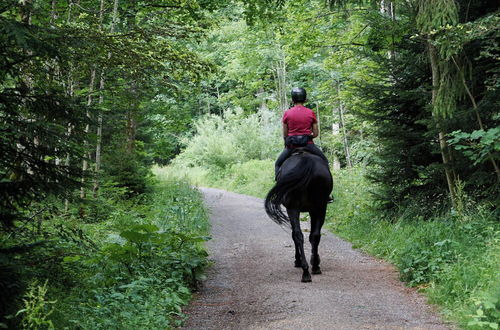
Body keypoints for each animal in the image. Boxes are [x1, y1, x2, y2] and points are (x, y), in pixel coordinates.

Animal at [266, 149, 332, 282]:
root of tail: (306, 160)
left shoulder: (293, 209)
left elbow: (294, 234)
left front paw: (298, 260)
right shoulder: (313, 210)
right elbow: (312, 235)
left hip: (294, 208)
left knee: (298, 235)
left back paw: (305, 269)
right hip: (320, 207)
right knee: (314, 235)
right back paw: (314, 267)